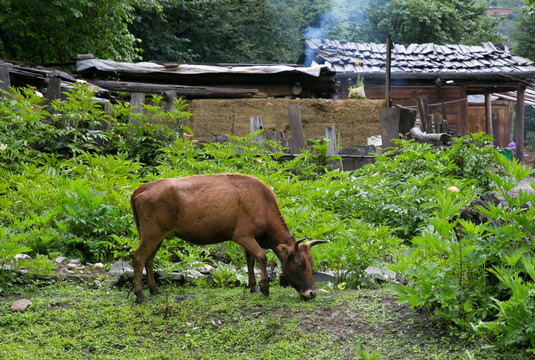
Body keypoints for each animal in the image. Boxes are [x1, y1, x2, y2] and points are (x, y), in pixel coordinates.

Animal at [130, 173, 326, 302]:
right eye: (299, 264)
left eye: (312, 263)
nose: (312, 293)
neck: (263, 205)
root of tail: (142, 188)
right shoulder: (242, 235)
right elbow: (261, 256)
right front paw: (264, 287)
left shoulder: (249, 238)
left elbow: (250, 260)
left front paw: (253, 287)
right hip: (152, 233)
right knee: (139, 257)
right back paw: (140, 296)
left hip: (157, 236)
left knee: (149, 259)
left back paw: (154, 290)